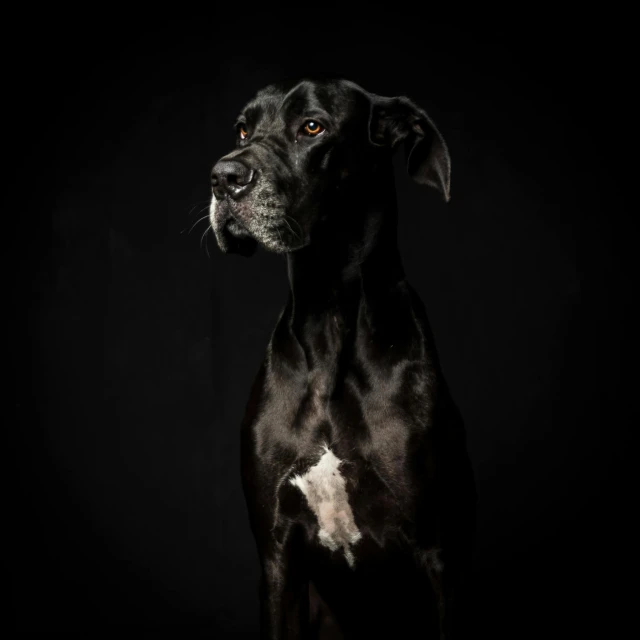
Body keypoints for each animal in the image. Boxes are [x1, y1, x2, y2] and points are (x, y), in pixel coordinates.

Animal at [209, 77, 476, 636]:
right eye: (243, 128)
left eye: (313, 126)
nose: (223, 177)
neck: (329, 321)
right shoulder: (277, 559)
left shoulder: (438, 556)